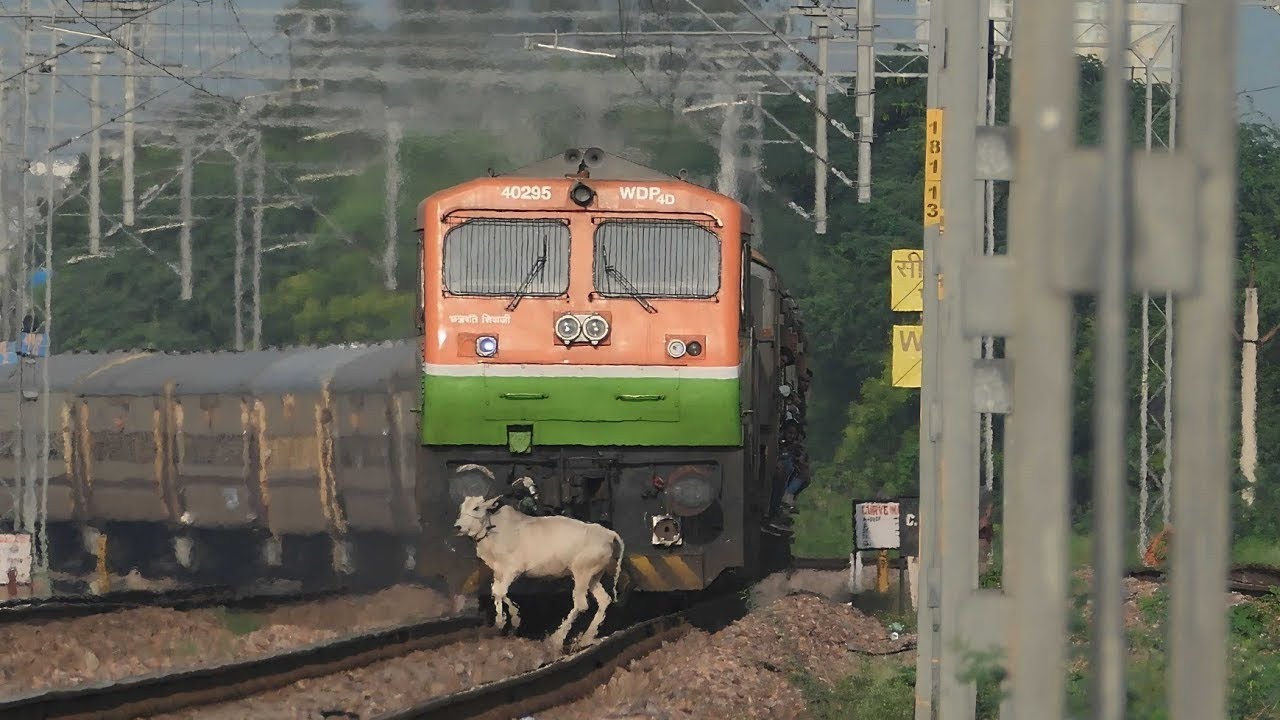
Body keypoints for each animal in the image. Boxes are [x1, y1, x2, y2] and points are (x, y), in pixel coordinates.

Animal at [453, 493, 626, 652]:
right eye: (461, 508)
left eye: (476, 507)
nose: (457, 527)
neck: (496, 531)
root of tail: (608, 534)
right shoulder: (499, 572)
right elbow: (497, 591)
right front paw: (511, 619)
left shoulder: (513, 570)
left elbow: (500, 592)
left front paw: (505, 621)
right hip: (593, 576)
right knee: (604, 600)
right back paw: (587, 638)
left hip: (582, 573)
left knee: (581, 604)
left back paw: (556, 639)